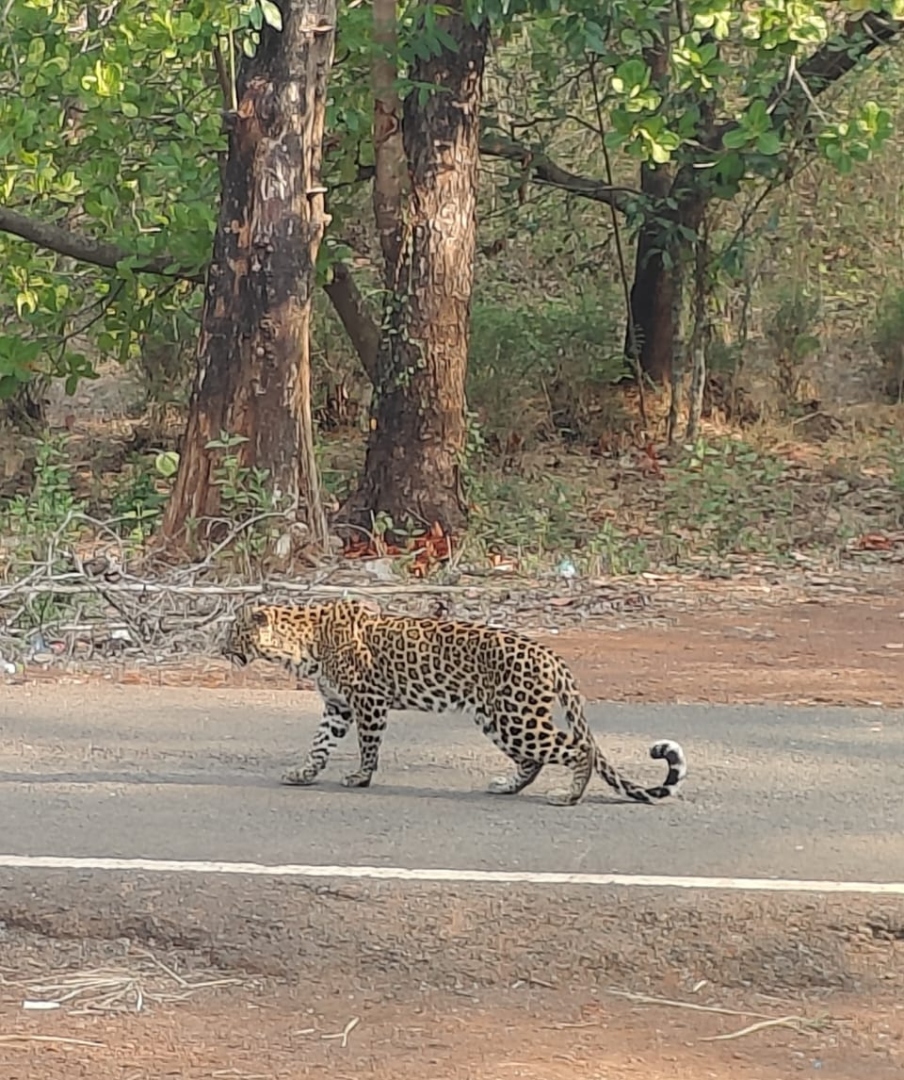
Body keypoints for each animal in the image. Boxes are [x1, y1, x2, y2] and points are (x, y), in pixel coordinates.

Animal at [223, 599, 687, 807]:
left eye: (233, 633)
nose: (221, 649)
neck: (302, 643)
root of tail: (551, 656)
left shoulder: (368, 701)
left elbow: (368, 746)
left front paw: (360, 777)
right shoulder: (337, 706)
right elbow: (320, 744)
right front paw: (302, 773)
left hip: (517, 717)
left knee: (579, 747)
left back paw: (568, 795)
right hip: (499, 719)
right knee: (533, 759)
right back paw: (506, 786)